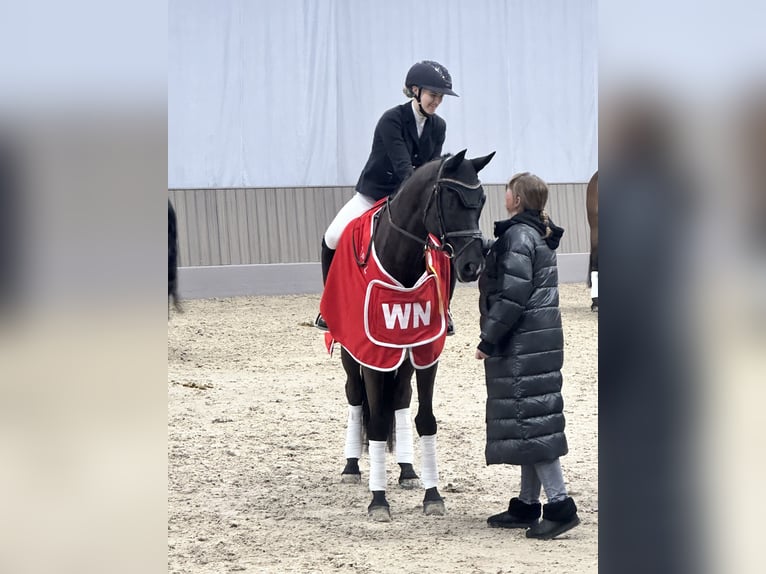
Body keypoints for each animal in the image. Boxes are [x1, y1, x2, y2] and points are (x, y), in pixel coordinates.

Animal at [320, 150, 496, 520]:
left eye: (481, 201)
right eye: (450, 198)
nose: (472, 266)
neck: (401, 262)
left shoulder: (426, 351)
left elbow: (425, 419)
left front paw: (433, 494)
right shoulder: (372, 353)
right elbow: (375, 422)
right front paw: (378, 501)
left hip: (404, 355)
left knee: (400, 398)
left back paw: (408, 470)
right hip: (348, 348)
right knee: (354, 394)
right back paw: (351, 467)